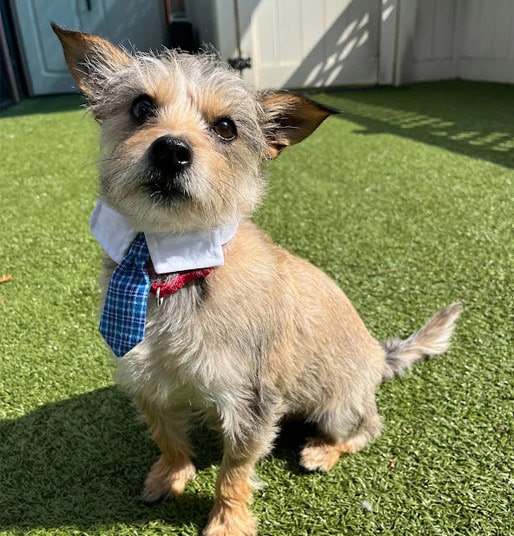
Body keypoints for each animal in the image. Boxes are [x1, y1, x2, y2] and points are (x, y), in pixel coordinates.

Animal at [52, 23, 460, 532]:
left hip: (338, 405)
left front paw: (228, 521)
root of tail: (378, 357)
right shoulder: (146, 379)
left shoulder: (252, 402)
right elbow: (168, 437)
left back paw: (322, 451)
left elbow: (234, 471)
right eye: (141, 107)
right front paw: (170, 476)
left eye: (226, 127)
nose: (171, 149)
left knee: (366, 429)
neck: (169, 266)